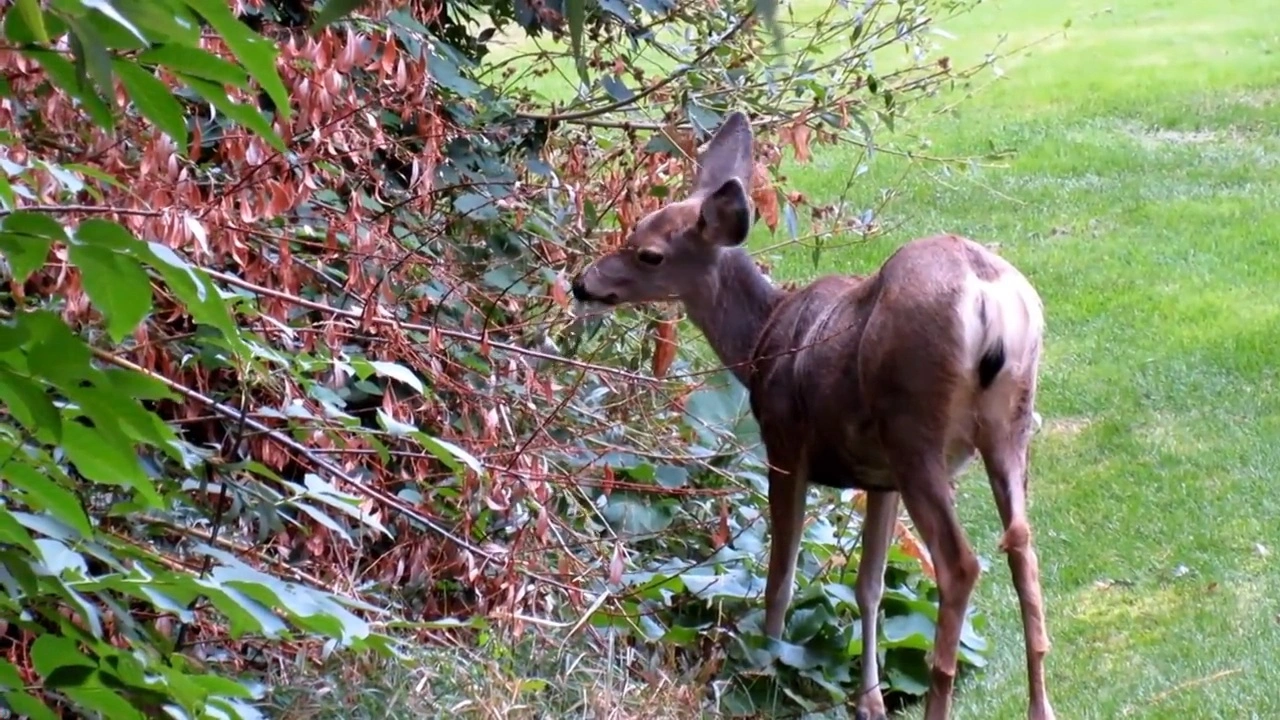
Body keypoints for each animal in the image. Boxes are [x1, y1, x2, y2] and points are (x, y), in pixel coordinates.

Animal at [570, 112, 1049, 717]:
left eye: (649, 253)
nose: (584, 283)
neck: (759, 342)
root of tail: (990, 297)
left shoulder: (783, 442)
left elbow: (783, 568)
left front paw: (766, 663)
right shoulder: (880, 479)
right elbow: (868, 585)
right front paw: (869, 700)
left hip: (915, 429)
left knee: (961, 564)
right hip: (1008, 426)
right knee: (1023, 550)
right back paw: (1041, 705)